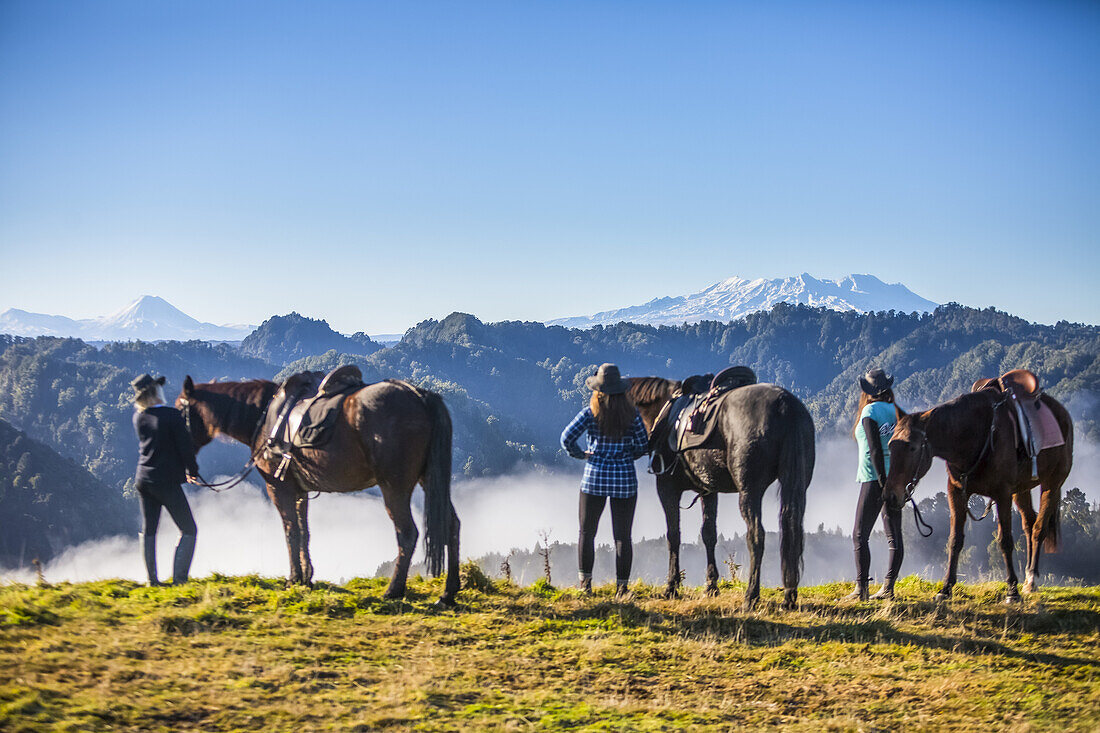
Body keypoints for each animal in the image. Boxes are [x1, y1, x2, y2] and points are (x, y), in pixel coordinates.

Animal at [176, 374, 459, 603]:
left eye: (178, 410)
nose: (186, 470)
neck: (265, 417)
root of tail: (420, 396)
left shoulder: (278, 488)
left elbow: (290, 531)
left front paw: (293, 578)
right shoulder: (301, 492)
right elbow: (305, 532)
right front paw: (306, 578)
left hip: (394, 487)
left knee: (407, 533)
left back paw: (394, 590)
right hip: (429, 479)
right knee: (451, 524)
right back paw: (448, 593)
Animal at [629, 374, 818, 607]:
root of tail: (786, 404)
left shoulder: (666, 487)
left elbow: (673, 535)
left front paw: (671, 587)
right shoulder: (709, 491)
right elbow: (709, 534)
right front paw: (711, 586)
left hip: (749, 491)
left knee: (756, 536)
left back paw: (751, 596)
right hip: (797, 485)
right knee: (792, 534)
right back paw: (789, 597)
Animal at [884, 387, 1073, 598]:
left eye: (912, 447)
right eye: (891, 445)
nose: (890, 495)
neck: (975, 436)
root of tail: (1063, 414)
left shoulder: (1002, 494)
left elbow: (1005, 541)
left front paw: (1012, 590)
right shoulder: (956, 492)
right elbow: (955, 540)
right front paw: (946, 588)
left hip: (1052, 483)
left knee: (1039, 528)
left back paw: (1031, 579)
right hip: (1021, 490)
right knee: (1029, 524)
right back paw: (1028, 578)